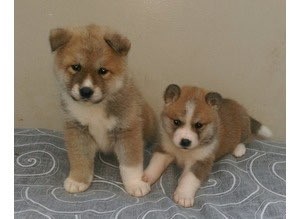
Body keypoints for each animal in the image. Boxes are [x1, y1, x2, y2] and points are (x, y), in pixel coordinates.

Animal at [48, 24, 158, 197]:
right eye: (76, 67)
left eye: (102, 71)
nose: (86, 91)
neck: (94, 108)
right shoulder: (77, 130)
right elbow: (80, 158)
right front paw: (78, 180)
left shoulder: (127, 130)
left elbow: (130, 164)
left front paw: (135, 183)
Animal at [143, 84, 272, 207]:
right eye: (176, 122)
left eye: (199, 125)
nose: (185, 141)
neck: (184, 152)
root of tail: (239, 106)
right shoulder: (165, 150)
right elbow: (155, 164)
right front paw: (145, 178)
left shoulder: (201, 162)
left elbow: (189, 178)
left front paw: (183, 195)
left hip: (244, 127)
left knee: (245, 139)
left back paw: (239, 149)